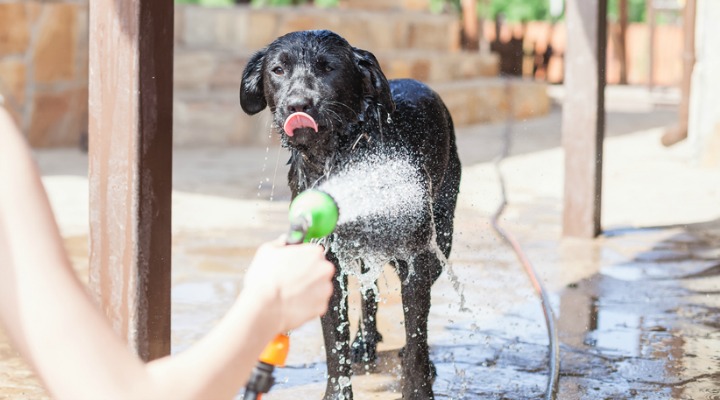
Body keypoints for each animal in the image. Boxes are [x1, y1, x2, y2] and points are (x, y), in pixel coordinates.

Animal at [239, 29, 458, 398]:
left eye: (328, 67)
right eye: (278, 70)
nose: (298, 105)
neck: (340, 156)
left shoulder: (414, 261)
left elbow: (416, 336)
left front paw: (418, 386)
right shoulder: (326, 262)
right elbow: (334, 347)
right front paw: (338, 390)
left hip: (439, 237)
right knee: (369, 292)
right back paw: (365, 342)